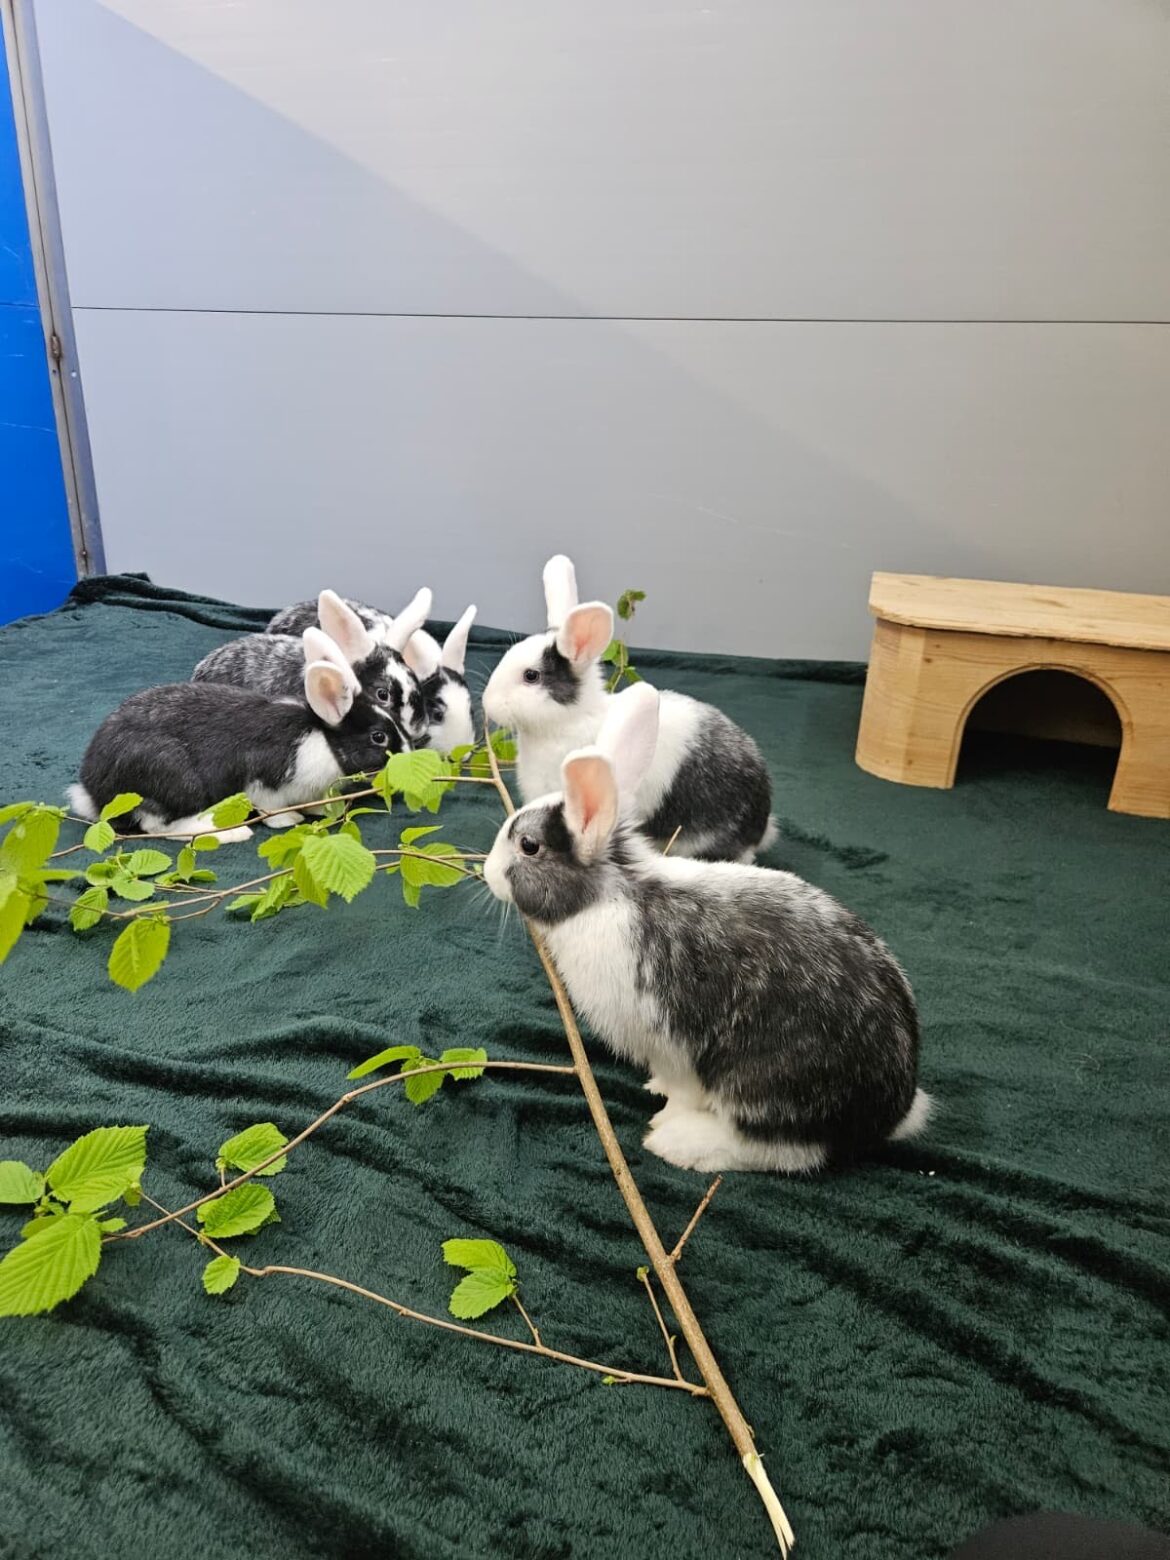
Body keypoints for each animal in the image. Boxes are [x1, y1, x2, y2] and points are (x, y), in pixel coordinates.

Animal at [67, 629, 408, 842]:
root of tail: (94, 790)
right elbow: (271, 808)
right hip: (175, 779)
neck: (325, 740)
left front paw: (318, 810)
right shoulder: (263, 781)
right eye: (378, 737)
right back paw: (228, 831)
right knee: (158, 824)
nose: (406, 757)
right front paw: (289, 821)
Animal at [483, 682, 930, 1173]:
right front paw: (655, 1088)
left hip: (767, 1082)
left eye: (528, 845)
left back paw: (680, 1142)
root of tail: (893, 1111)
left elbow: (685, 1088)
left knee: (783, 1147)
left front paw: (667, 1108)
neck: (610, 895)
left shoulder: (671, 1042)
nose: (487, 873)